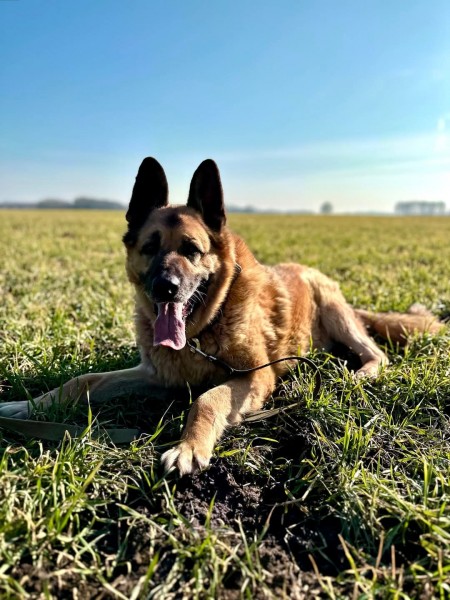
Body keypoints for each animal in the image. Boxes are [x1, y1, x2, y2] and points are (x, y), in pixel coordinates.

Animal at [0, 157, 442, 475]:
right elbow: (83, 381)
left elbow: (208, 399)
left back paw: (357, 375)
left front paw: (188, 446)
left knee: (377, 354)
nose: (165, 288)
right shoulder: (157, 375)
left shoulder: (255, 378)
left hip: (336, 314)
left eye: (192, 250)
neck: (203, 329)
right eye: (150, 247)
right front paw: (28, 406)